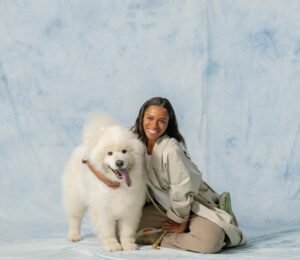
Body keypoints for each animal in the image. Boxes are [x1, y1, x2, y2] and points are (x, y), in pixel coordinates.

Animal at [63, 112, 146, 251]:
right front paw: (112, 245)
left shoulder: (130, 209)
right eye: (110, 153)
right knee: (75, 217)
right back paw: (74, 236)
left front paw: (128, 244)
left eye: (124, 151)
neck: (118, 185)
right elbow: (108, 231)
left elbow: (127, 231)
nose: (119, 162)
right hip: (76, 197)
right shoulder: (103, 209)